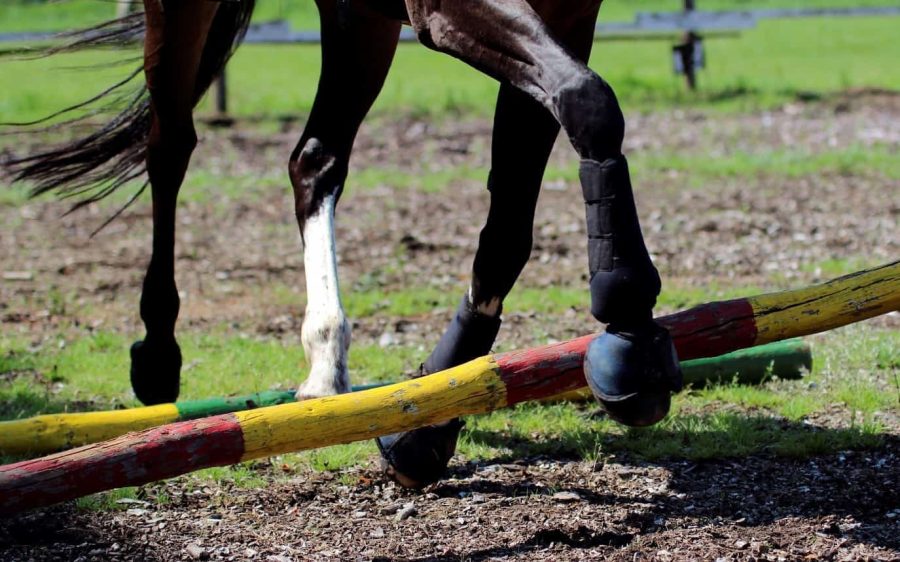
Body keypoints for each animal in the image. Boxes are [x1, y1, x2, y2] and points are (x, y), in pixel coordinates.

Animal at [6, 0, 681, 489]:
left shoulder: (567, 10)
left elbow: (513, 217)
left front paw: (427, 423)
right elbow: (588, 101)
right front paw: (628, 321)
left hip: (360, 20)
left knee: (314, 160)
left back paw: (326, 358)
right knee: (170, 147)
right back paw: (159, 352)